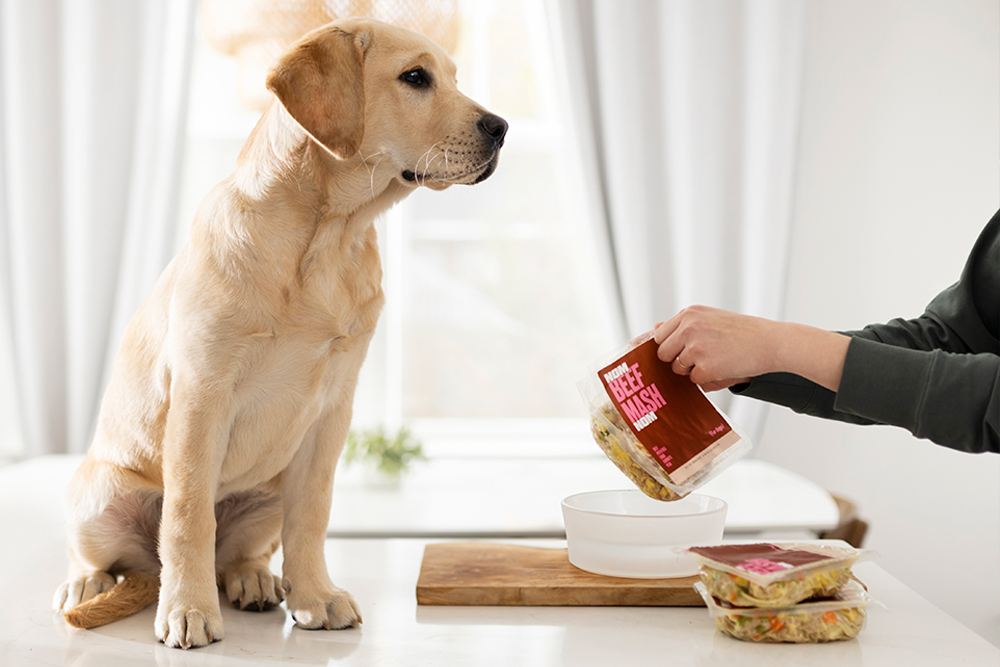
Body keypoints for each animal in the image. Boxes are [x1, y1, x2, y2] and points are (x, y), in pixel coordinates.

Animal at [52, 18, 508, 648]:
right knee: (106, 556)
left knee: (239, 552)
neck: (328, 237)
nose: (502, 128)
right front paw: (189, 610)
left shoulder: (332, 409)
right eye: (416, 78)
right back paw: (90, 585)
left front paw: (315, 596)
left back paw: (255, 580)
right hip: (97, 494)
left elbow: (311, 516)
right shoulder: (202, 394)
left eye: (455, 79)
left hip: (266, 495)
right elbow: (189, 515)